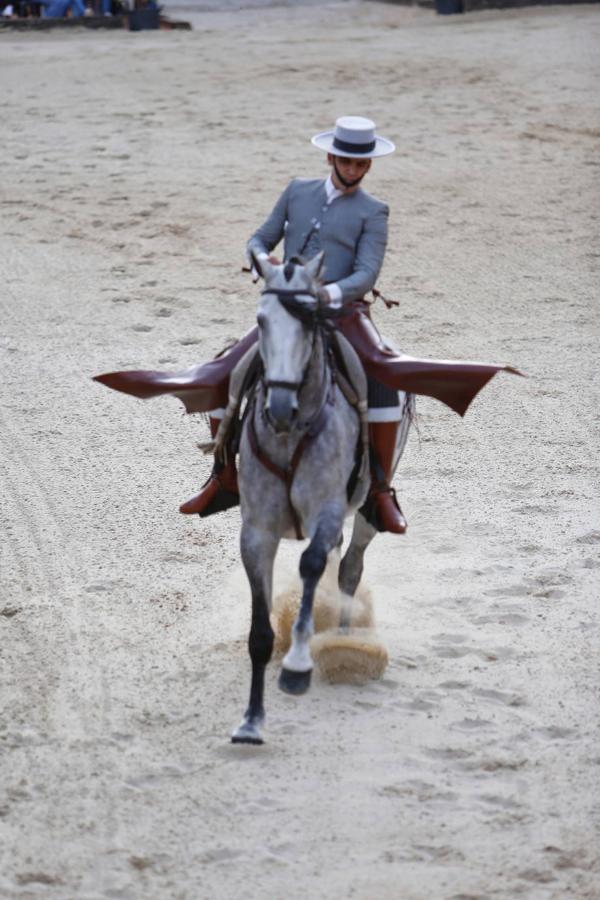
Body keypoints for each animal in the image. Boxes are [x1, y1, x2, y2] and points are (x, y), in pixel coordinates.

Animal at [231, 250, 412, 740]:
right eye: (262, 320)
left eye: (309, 323)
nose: (279, 407)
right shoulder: (257, 532)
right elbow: (259, 633)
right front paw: (251, 721)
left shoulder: (327, 511)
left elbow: (314, 565)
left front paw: (297, 667)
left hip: (369, 508)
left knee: (348, 567)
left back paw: (345, 641)